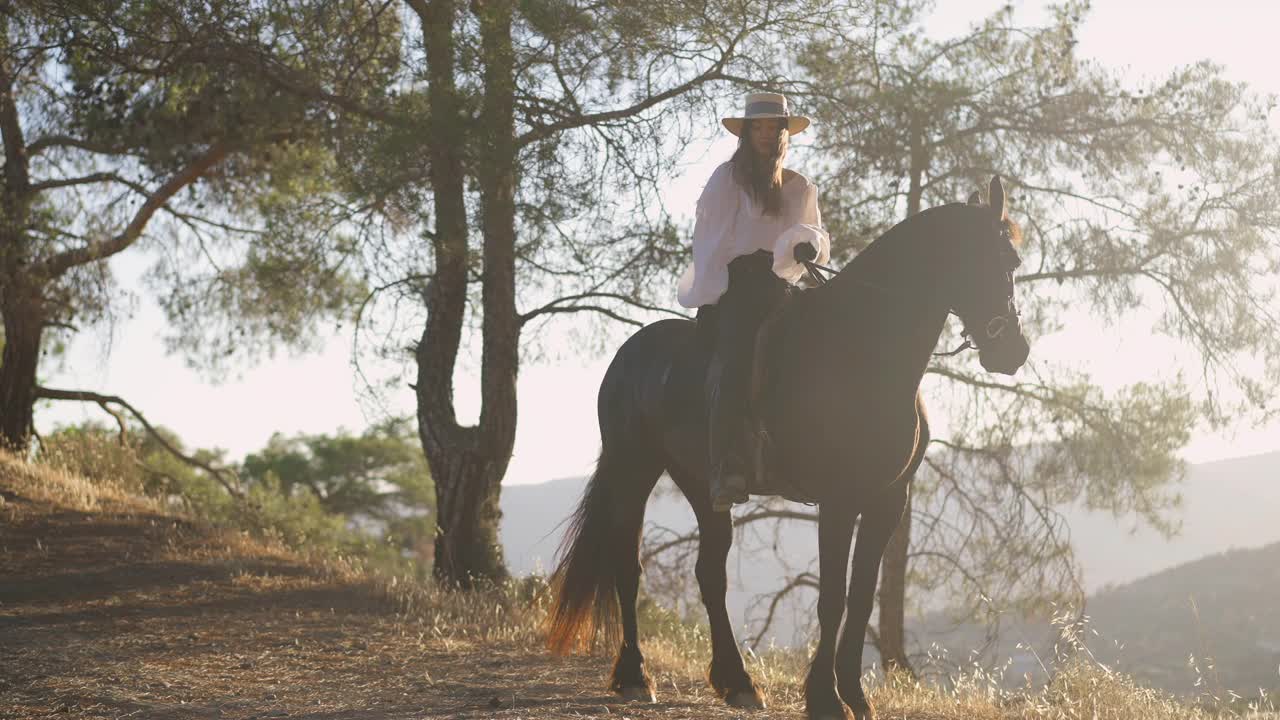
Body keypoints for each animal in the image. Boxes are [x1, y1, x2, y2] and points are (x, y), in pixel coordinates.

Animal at [545, 175, 1024, 717]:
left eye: (1013, 262)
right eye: (993, 260)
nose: (1013, 351)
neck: (863, 350)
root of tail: (626, 355)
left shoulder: (888, 500)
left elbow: (861, 597)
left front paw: (856, 697)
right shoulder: (838, 500)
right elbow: (832, 597)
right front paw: (824, 698)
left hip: (701, 484)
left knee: (710, 574)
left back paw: (736, 682)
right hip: (633, 471)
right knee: (628, 568)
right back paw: (634, 676)